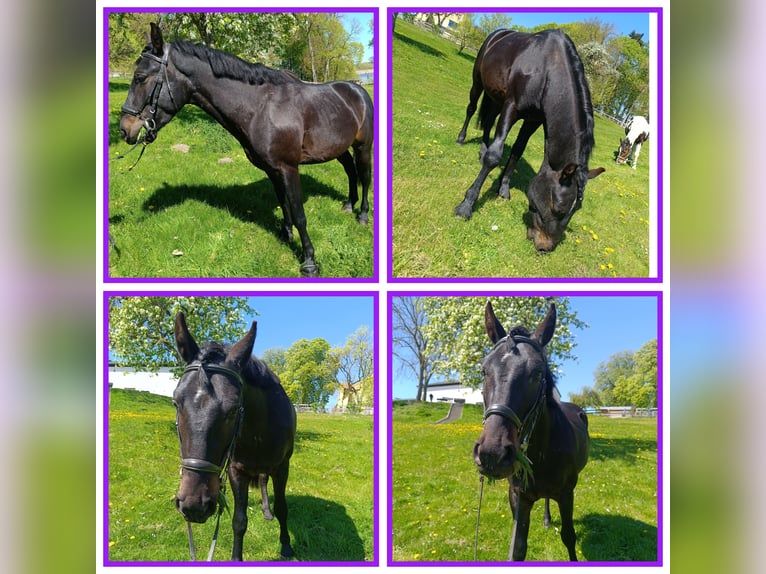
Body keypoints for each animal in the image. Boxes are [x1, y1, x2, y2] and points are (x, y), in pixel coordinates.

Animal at [118, 23, 374, 277]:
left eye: (140, 77)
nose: (124, 129)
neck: (261, 108)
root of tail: (356, 89)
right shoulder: (273, 170)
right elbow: (284, 204)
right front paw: (285, 234)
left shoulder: (289, 168)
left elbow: (299, 214)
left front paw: (309, 260)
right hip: (338, 148)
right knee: (350, 171)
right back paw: (348, 205)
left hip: (363, 147)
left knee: (364, 176)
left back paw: (362, 214)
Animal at [172, 312, 296, 561]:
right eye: (176, 402)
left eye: (232, 410)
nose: (193, 505)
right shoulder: (236, 470)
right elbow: (239, 521)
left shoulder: (282, 468)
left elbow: (282, 508)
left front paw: (286, 545)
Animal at [455, 29, 604, 252]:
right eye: (559, 208)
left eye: (577, 208)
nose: (545, 247)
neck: (546, 70)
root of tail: (498, 34)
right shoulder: (511, 107)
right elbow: (494, 156)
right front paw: (466, 205)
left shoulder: (533, 120)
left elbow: (518, 150)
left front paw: (504, 188)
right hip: (479, 82)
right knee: (472, 108)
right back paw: (461, 139)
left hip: (496, 96)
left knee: (488, 120)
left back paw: (482, 150)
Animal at [473, 302, 590, 561]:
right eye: (484, 370)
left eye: (537, 373)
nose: (492, 454)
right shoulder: (518, 498)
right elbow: (517, 549)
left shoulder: (567, 494)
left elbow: (569, 537)